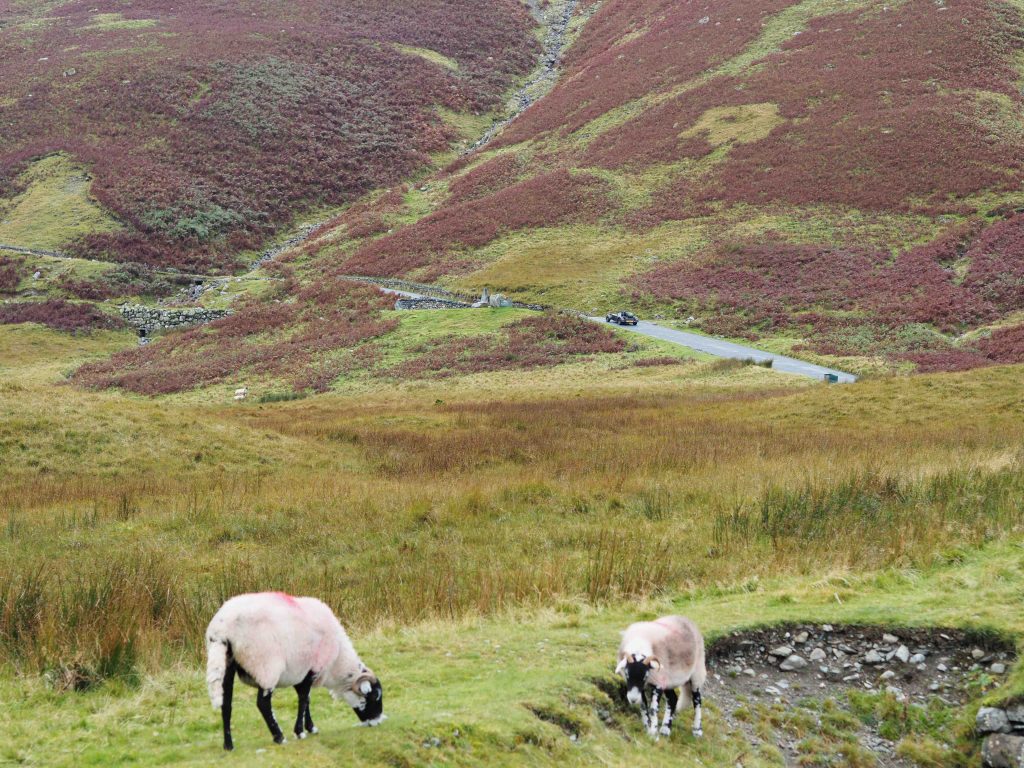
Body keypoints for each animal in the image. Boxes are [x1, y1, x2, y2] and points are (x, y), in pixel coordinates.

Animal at [205, 593, 382, 753]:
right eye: (374, 696)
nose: (378, 721)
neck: (337, 662)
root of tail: (222, 629)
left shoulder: (302, 673)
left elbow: (307, 700)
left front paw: (310, 727)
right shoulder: (312, 669)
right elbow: (304, 699)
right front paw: (300, 732)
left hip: (227, 664)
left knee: (226, 704)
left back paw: (229, 745)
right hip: (266, 666)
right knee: (263, 703)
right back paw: (279, 737)